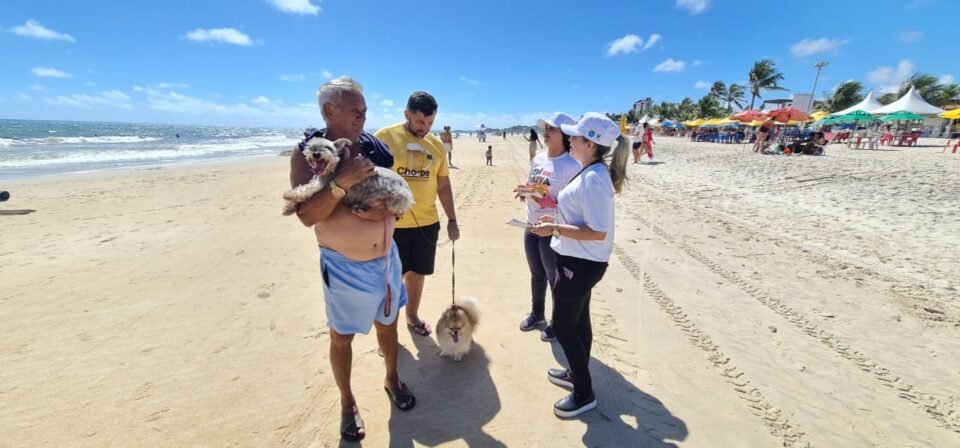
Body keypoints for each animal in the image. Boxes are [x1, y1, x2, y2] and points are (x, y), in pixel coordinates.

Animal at [280, 137, 410, 218]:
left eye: (328, 147)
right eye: (310, 146)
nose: (316, 154)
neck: (334, 167)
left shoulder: (322, 183)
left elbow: (305, 189)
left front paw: (289, 196)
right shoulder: (318, 180)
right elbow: (304, 187)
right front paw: (288, 207)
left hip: (387, 195)